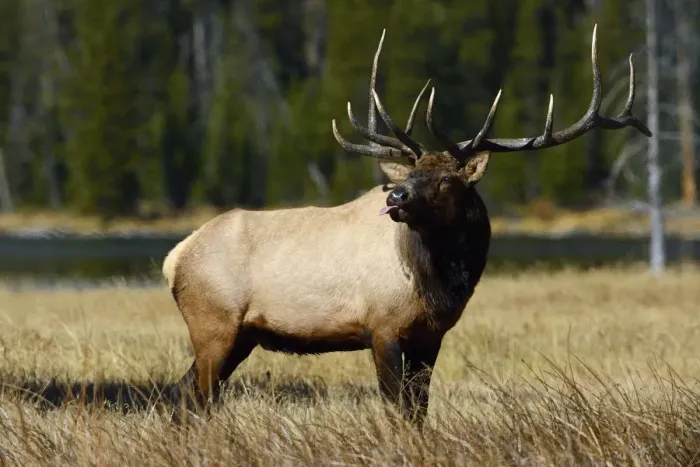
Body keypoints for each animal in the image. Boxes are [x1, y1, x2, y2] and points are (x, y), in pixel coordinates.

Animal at [162, 25, 651, 426]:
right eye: (411, 174)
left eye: (448, 179)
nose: (395, 197)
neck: (440, 284)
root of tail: (174, 258)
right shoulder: (381, 328)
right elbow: (397, 409)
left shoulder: (429, 337)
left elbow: (419, 410)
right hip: (214, 323)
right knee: (197, 396)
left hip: (240, 335)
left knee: (184, 393)